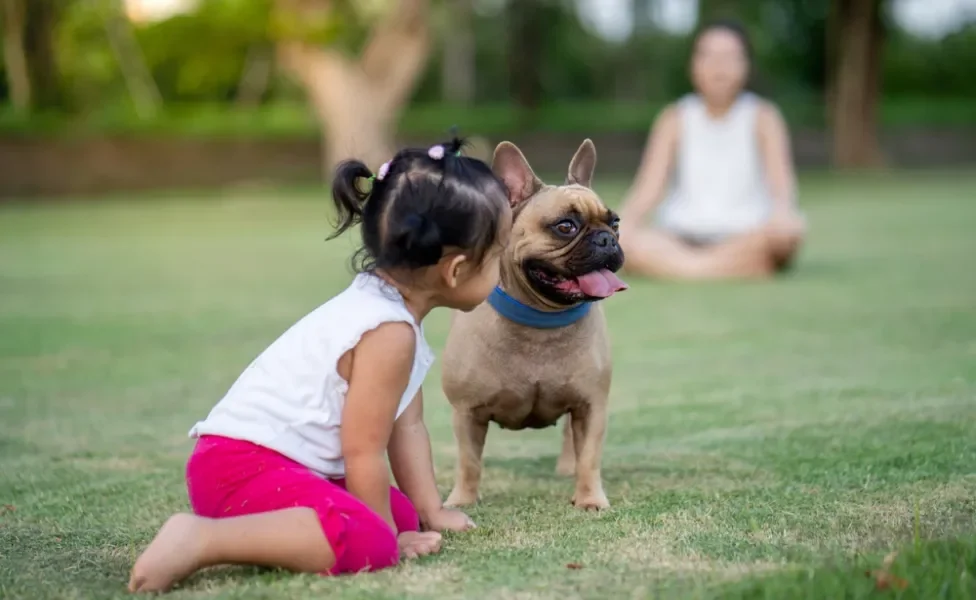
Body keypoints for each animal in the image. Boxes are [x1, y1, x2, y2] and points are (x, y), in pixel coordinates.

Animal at [440, 139, 624, 510]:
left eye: (615, 223)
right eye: (565, 226)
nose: (607, 239)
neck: (541, 319)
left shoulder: (591, 406)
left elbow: (589, 456)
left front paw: (589, 499)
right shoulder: (466, 412)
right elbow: (469, 461)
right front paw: (462, 501)